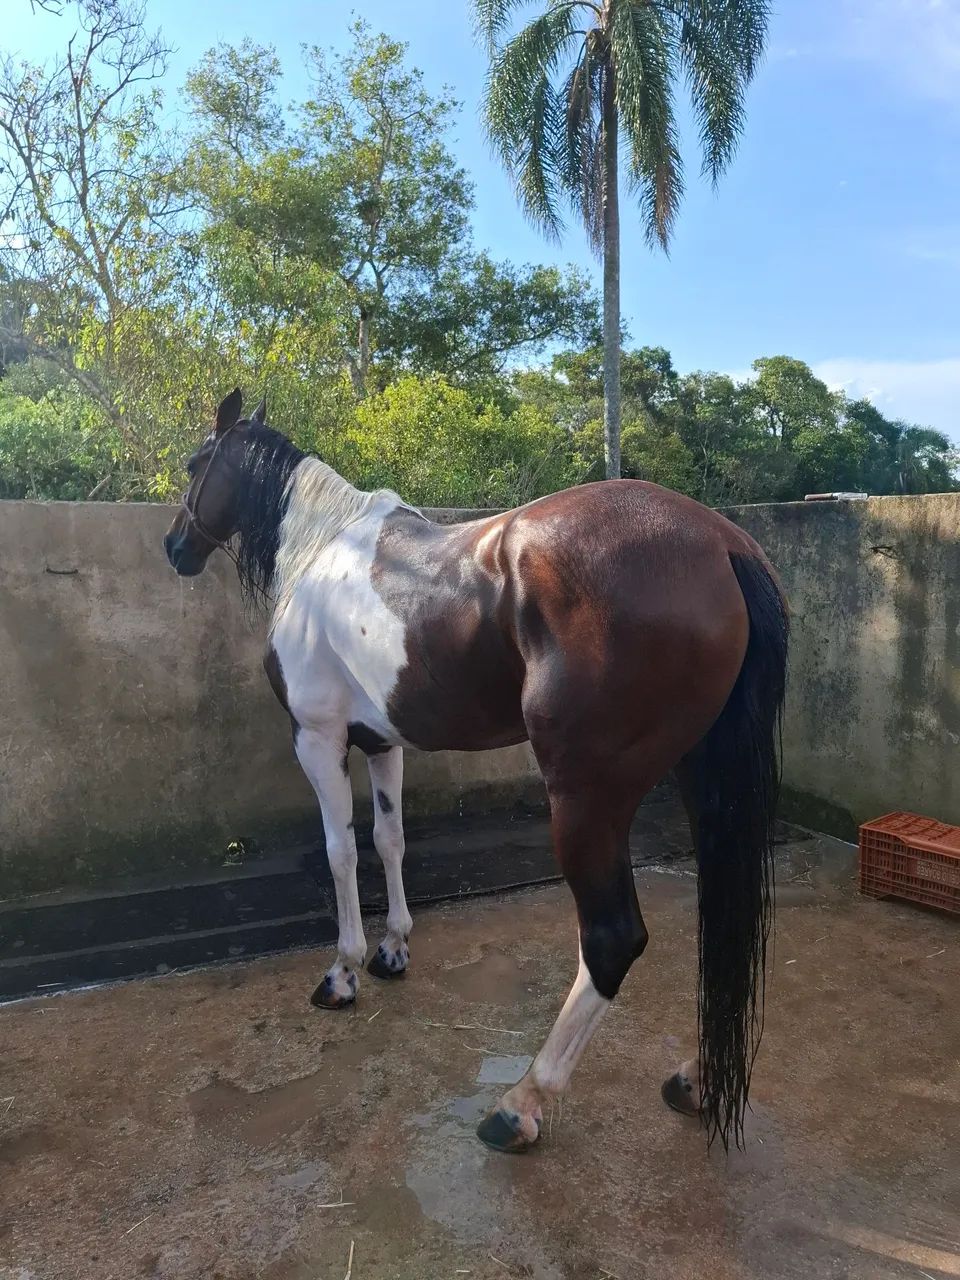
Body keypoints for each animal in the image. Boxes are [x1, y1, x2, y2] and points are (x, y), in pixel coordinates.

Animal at [164, 389, 788, 1155]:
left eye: (197, 464)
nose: (175, 547)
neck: (321, 546)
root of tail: (724, 545)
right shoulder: (382, 743)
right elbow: (389, 840)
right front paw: (392, 950)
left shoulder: (318, 739)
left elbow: (341, 852)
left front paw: (343, 971)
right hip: (705, 781)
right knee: (721, 919)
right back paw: (696, 1081)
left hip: (586, 797)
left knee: (612, 938)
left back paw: (521, 1104)